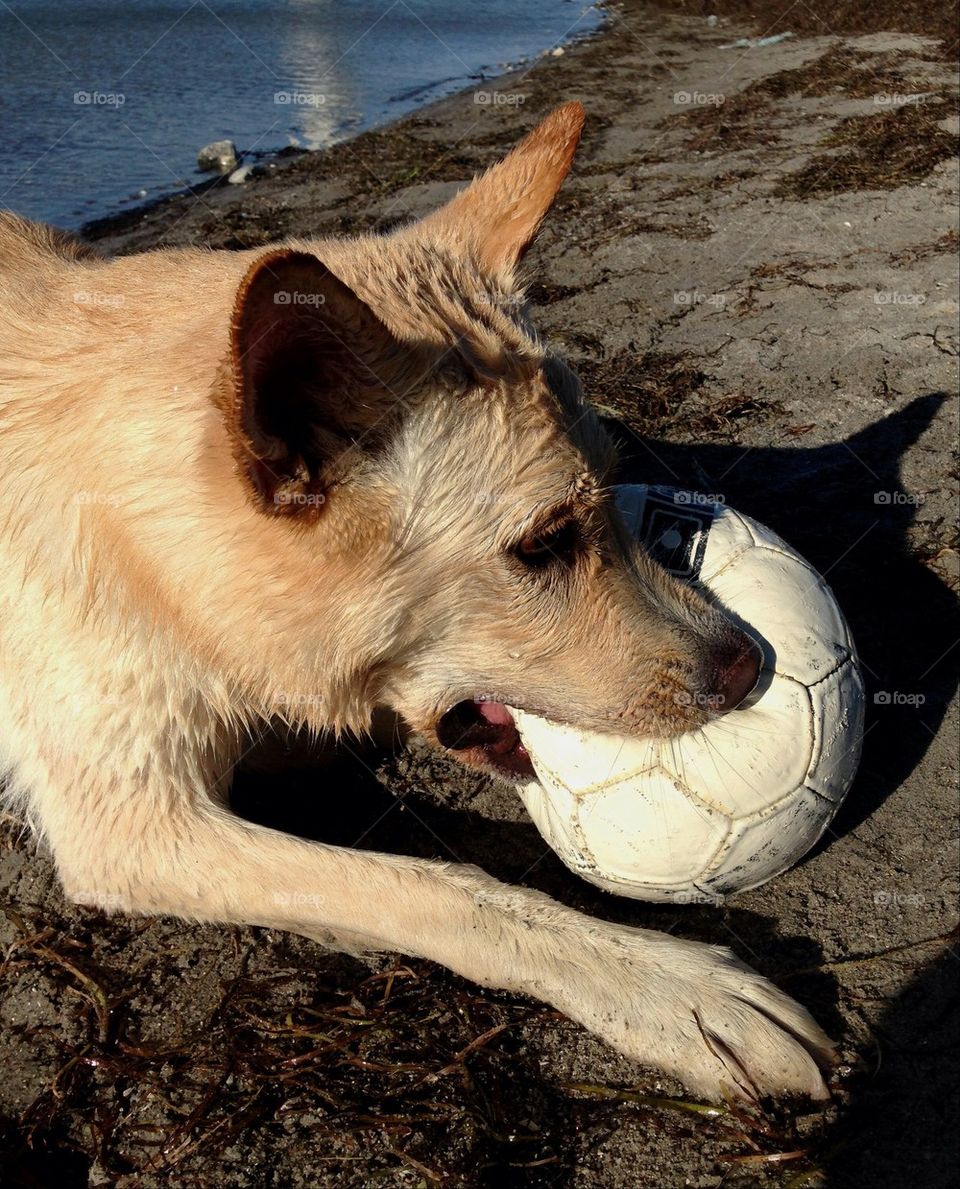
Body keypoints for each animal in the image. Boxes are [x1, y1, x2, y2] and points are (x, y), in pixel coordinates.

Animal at [0, 104, 832, 1103]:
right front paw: (669, 986)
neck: (148, 543)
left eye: (615, 485)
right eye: (542, 544)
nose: (751, 665)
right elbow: (436, 886)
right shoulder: (133, 826)